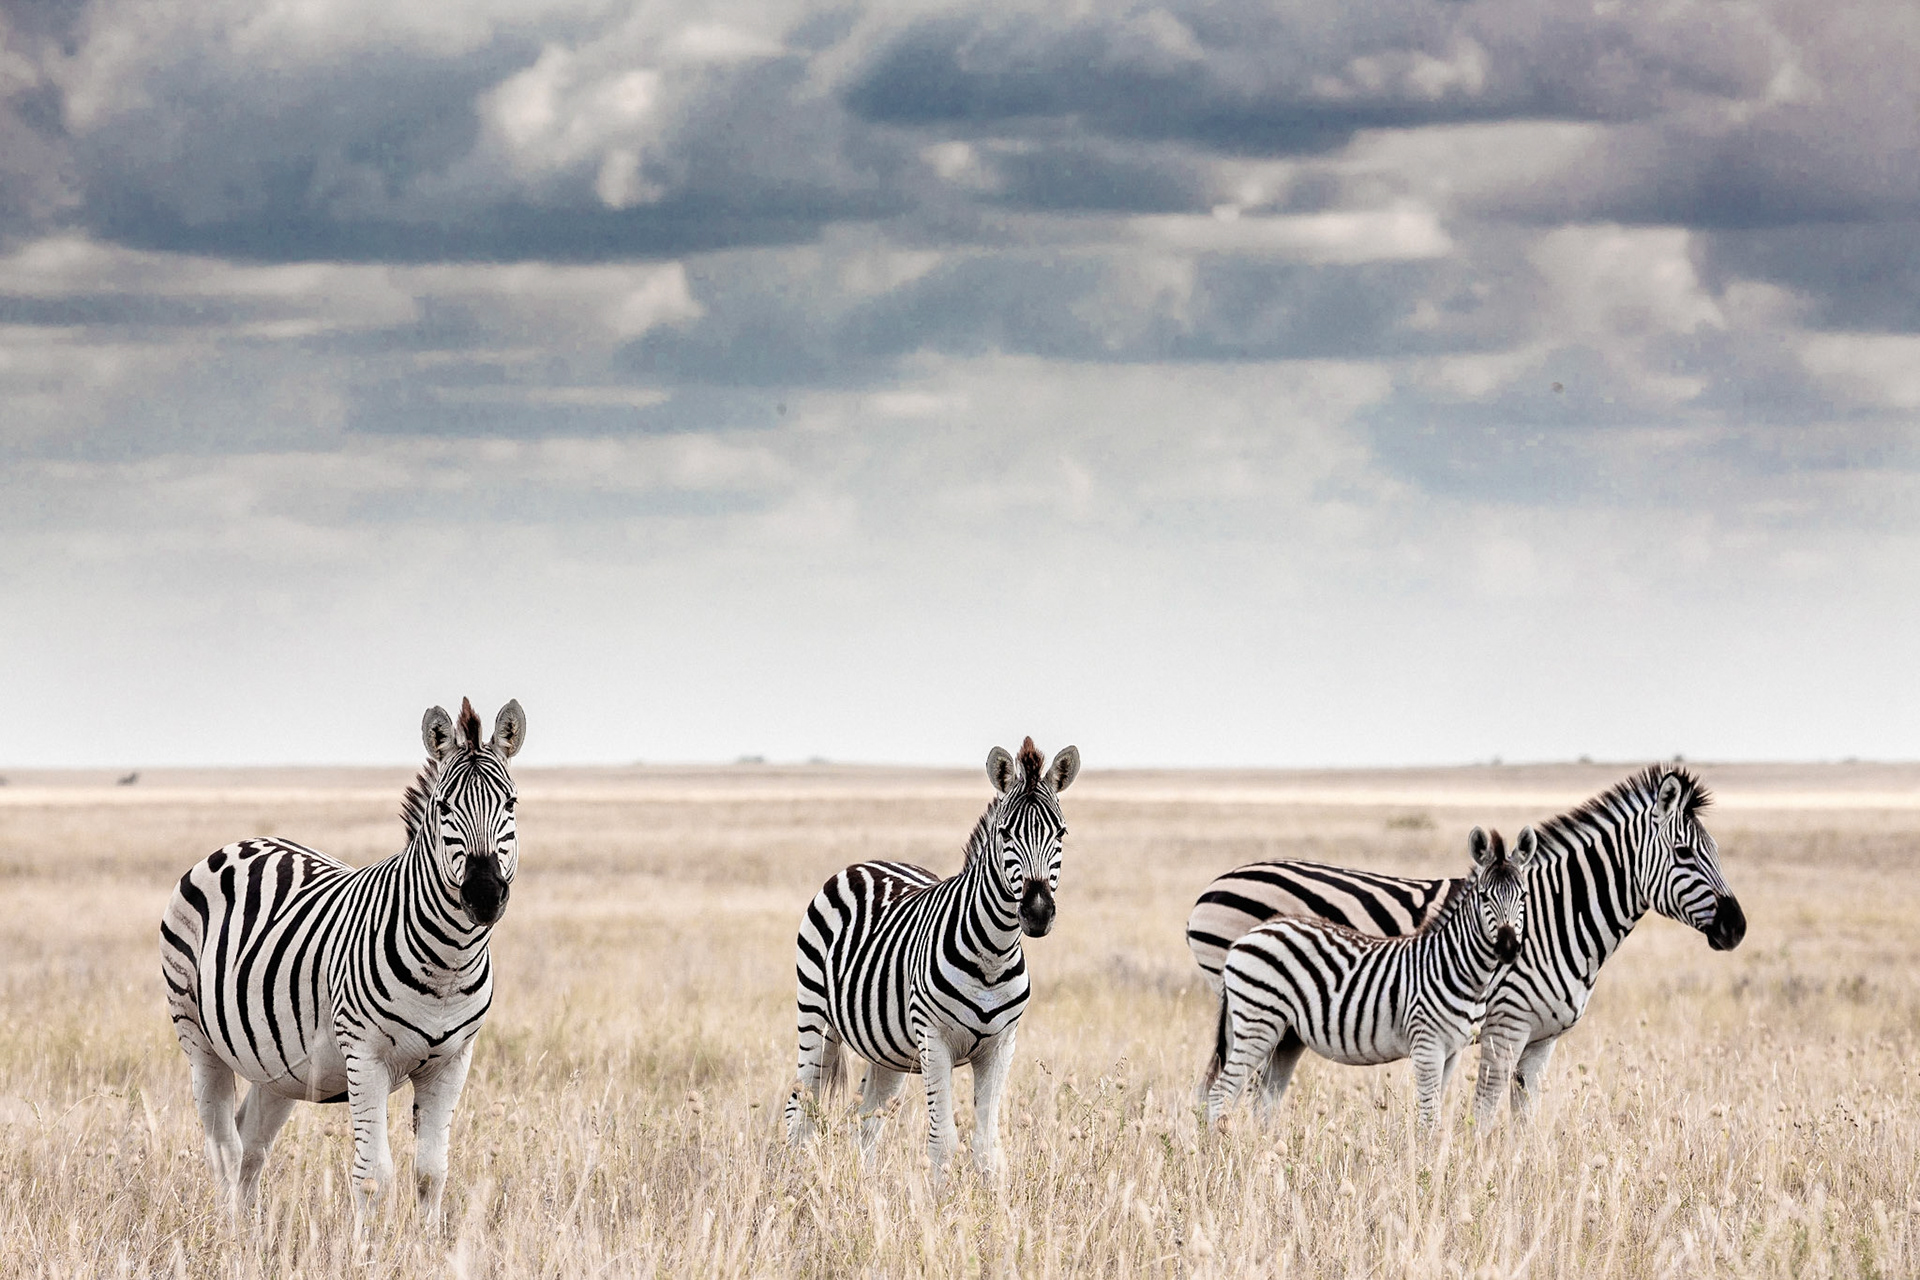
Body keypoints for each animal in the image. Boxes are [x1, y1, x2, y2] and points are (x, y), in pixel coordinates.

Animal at [159, 698, 526, 1221]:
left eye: (510, 804)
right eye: (443, 807)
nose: (484, 894)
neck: (448, 964)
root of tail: (239, 843)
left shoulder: (453, 1061)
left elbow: (431, 1173)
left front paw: (430, 1240)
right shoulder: (365, 1055)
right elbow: (373, 1177)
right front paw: (370, 1243)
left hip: (278, 1065)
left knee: (251, 1143)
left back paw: (249, 1232)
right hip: (196, 1036)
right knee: (224, 1147)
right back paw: (228, 1230)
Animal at [785, 736, 1079, 1188]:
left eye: (1060, 833)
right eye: (1005, 833)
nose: (1038, 912)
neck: (993, 955)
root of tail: (864, 864)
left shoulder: (1002, 1045)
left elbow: (988, 1147)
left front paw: (992, 1205)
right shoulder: (934, 1039)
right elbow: (943, 1145)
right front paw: (938, 1206)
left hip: (885, 1049)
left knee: (866, 1119)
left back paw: (867, 1192)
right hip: (814, 1016)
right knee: (800, 1107)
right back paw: (788, 1185)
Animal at [1204, 826, 1535, 1126]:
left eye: (1524, 896)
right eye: (1484, 896)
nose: (1508, 948)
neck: (1457, 968)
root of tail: (1248, 935)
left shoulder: (1452, 1051)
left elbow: (1437, 1114)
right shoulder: (1427, 1045)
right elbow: (1428, 1119)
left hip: (1285, 1034)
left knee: (1262, 1097)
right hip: (1258, 1021)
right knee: (1220, 1093)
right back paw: (1218, 1149)